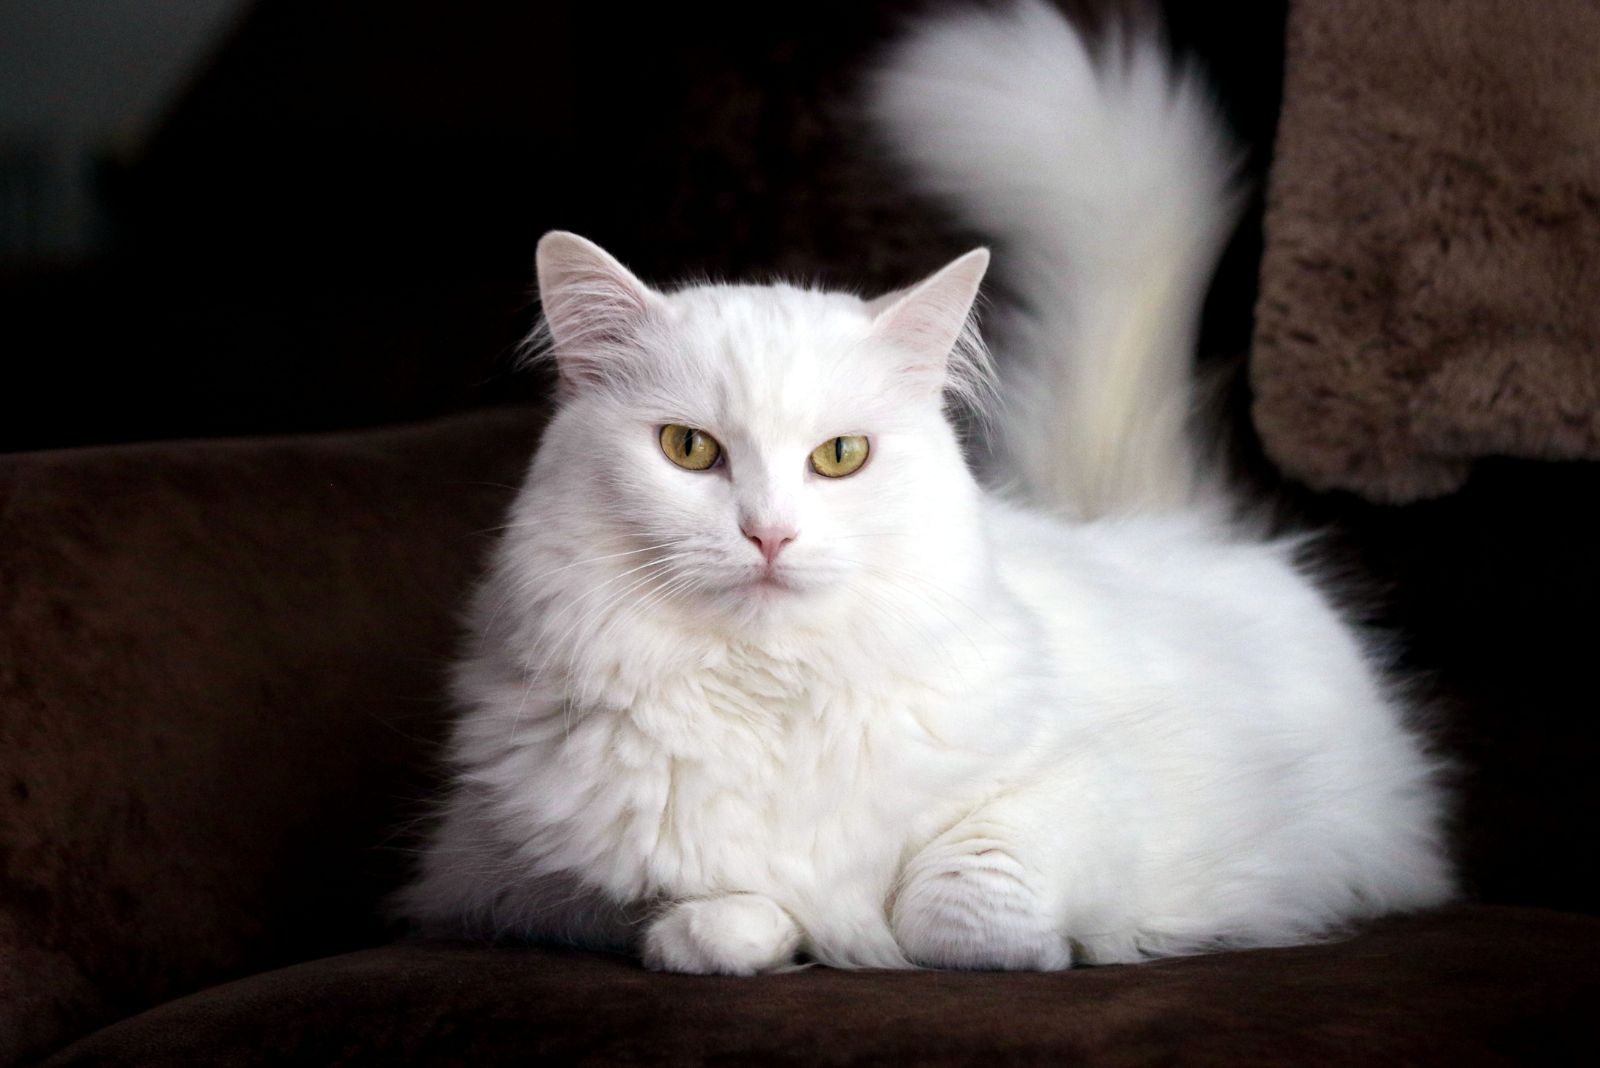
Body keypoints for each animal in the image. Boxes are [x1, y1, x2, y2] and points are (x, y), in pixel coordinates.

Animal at [396, 0, 1452, 978]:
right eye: (690, 449)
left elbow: (957, 906)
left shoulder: (1095, 791)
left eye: (838, 457)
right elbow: (705, 912)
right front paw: (752, 934)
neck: (769, 697)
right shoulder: (495, 875)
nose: (768, 535)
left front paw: (1058, 948)